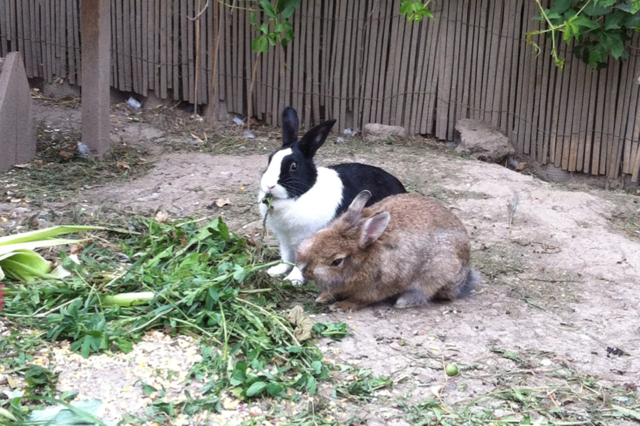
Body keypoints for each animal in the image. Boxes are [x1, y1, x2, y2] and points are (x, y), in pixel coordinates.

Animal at [258, 107, 406, 285]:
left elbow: (300, 262)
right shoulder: (284, 238)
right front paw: (275, 271)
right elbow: (286, 256)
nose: (269, 186)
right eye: (270, 159)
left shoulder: (305, 238)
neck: (301, 194)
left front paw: (293, 280)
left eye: (294, 166)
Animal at [296, 190, 481, 312]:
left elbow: (360, 299)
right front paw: (322, 297)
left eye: (336, 261)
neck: (365, 259)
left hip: (438, 272)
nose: (305, 271)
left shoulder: (378, 287)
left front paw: (342, 306)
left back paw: (403, 302)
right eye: (318, 236)